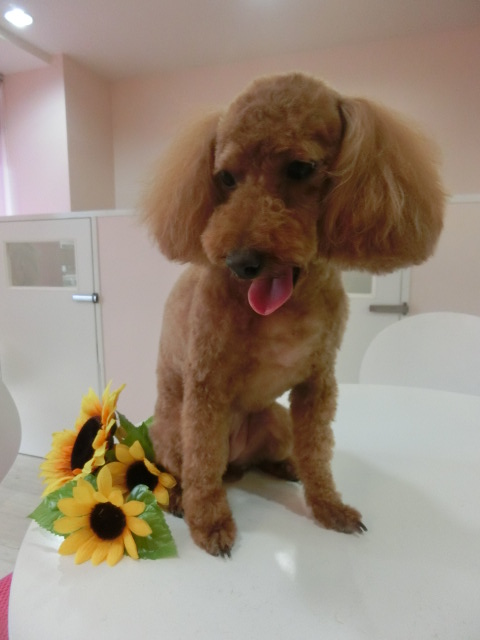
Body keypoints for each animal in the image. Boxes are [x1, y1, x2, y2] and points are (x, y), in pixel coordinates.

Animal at [142, 72, 445, 556]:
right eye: (225, 178)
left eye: (301, 168)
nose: (240, 262)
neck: (286, 309)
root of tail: (237, 461)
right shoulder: (206, 387)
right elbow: (203, 465)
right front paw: (210, 524)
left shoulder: (317, 385)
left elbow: (318, 453)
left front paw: (327, 506)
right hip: (172, 432)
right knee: (185, 469)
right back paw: (178, 497)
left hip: (277, 421)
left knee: (276, 455)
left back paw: (287, 467)